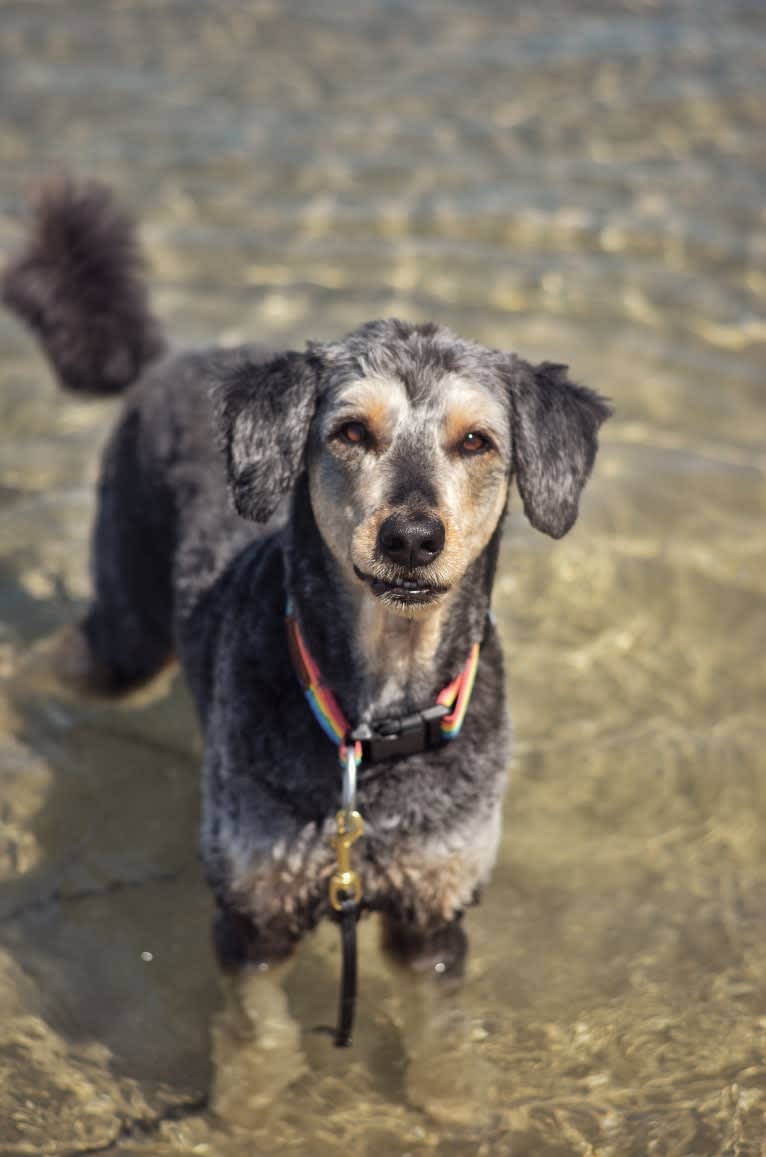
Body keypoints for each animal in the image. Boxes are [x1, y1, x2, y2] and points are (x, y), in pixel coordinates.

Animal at [0, 178, 610, 1082]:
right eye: (351, 431)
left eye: (477, 441)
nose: (411, 536)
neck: (374, 727)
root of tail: (167, 361)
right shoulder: (254, 913)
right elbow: (262, 1039)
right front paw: (256, 1099)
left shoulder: (433, 913)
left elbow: (440, 1033)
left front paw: (451, 1093)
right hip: (128, 635)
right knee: (45, 662)